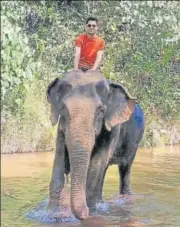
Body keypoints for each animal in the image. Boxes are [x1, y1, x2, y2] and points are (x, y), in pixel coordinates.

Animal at [46, 70, 145, 220]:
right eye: (63, 109)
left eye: (100, 111)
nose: (84, 214)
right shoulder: (61, 130)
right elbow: (59, 160)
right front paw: (53, 215)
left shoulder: (112, 127)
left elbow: (97, 164)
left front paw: (92, 212)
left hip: (135, 140)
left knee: (124, 169)